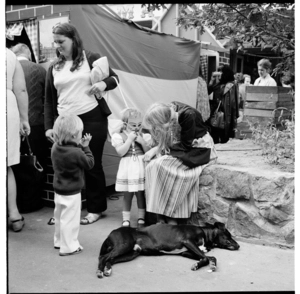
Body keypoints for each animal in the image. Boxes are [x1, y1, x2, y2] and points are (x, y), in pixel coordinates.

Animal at [97, 223, 240, 278]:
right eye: (228, 235)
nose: (239, 246)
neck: (205, 234)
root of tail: (111, 233)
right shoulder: (188, 242)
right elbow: (205, 257)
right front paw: (198, 265)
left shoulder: (187, 252)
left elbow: (209, 257)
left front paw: (209, 265)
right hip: (124, 245)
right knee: (103, 257)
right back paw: (100, 271)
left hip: (131, 253)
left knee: (110, 259)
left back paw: (107, 269)